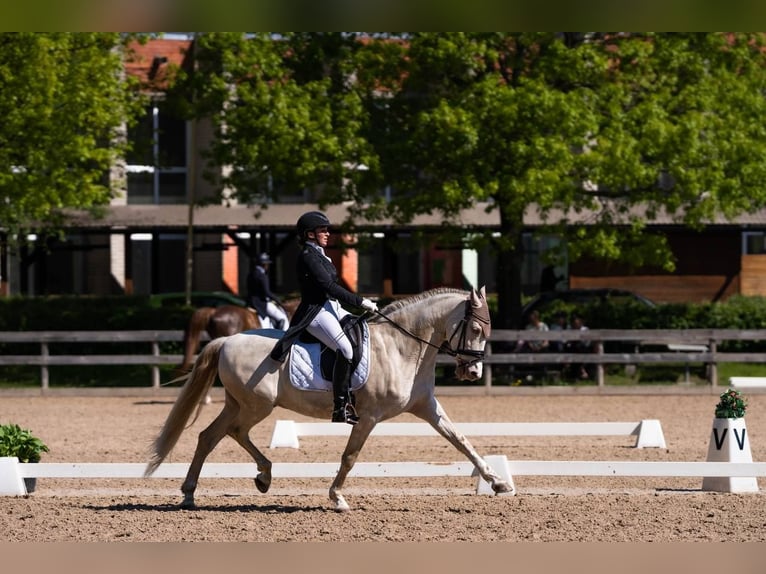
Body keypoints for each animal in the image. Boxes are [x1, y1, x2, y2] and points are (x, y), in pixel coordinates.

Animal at [146, 287, 513, 511]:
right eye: (476, 330)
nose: (473, 373)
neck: (403, 347)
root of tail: (227, 340)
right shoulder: (368, 416)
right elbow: (350, 456)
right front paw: (337, 498)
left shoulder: (427, 407)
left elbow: (461, 440)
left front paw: (497, 482)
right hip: (256, 405)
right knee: (232, 432)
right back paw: (257, 477)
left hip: (239, 404)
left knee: (210, 436)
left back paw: (196, 492)